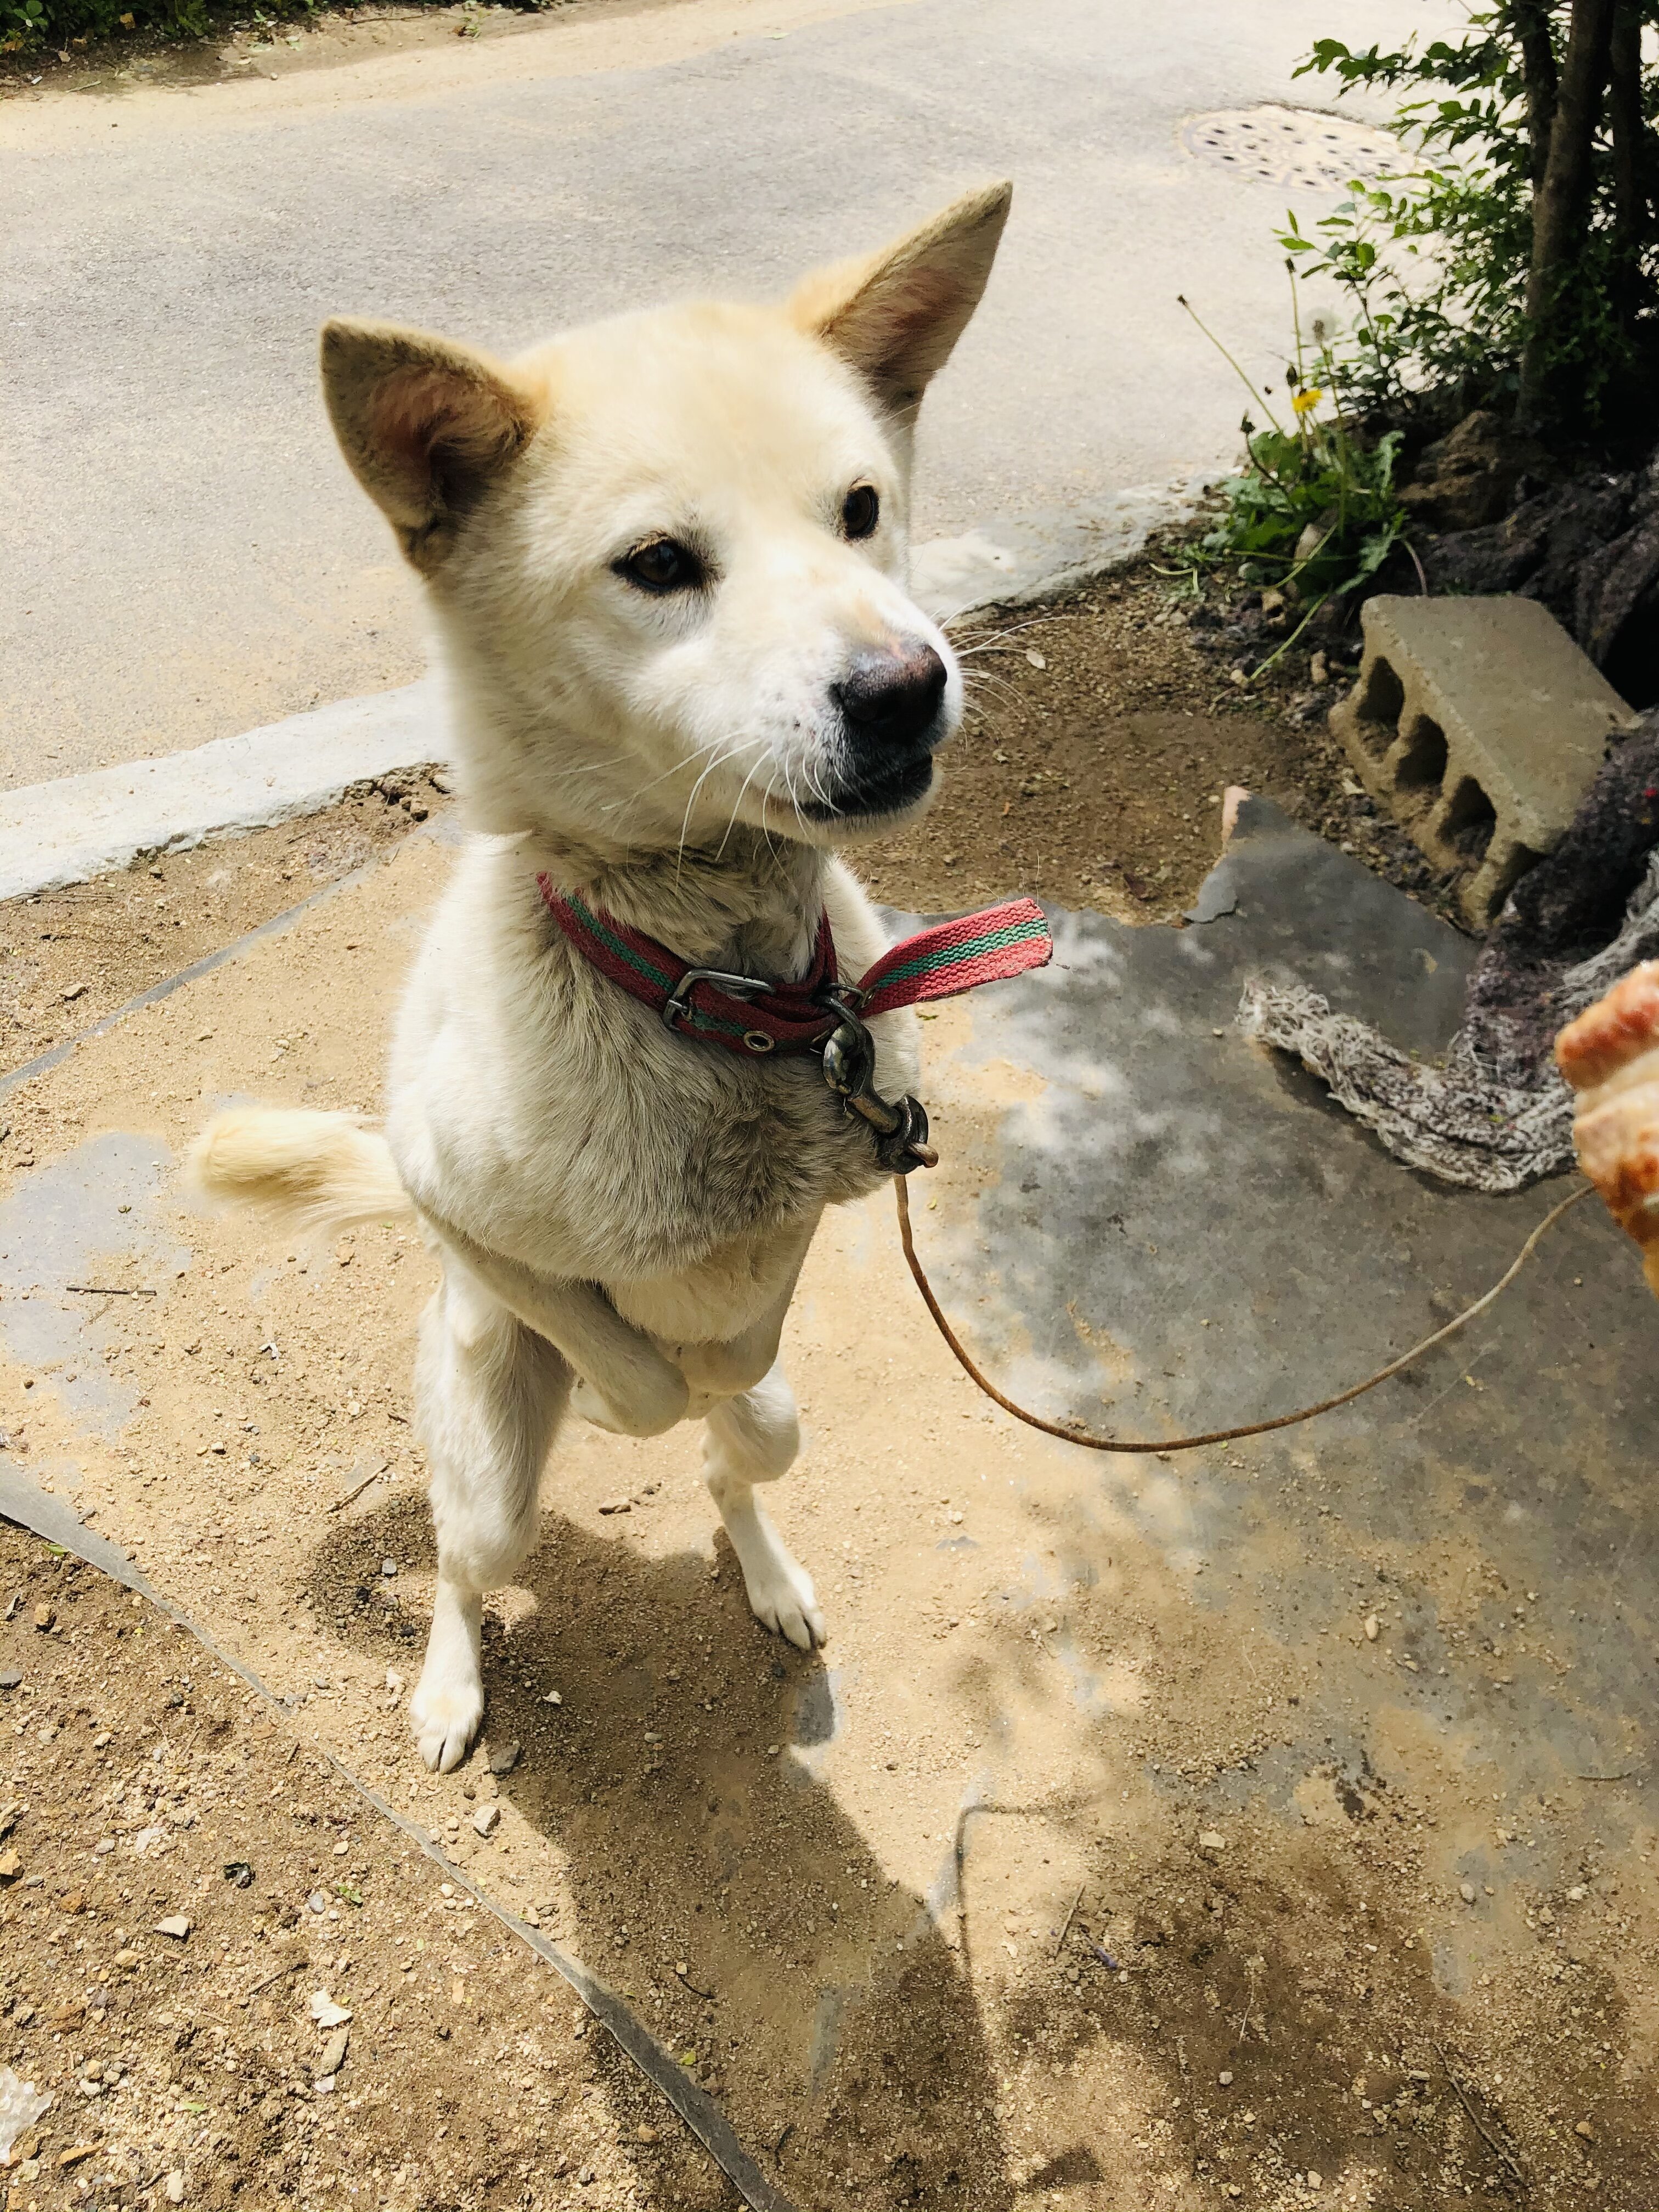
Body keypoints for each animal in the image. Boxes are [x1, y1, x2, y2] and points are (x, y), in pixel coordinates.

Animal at [188, 185, 1008, 1778]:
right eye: (659, 565)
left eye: (862, 509)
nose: (904, 687)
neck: (722, 996)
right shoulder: (457, 1204)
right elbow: (632, 1375)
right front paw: (652, 1385)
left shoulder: (818, 1215)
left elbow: (743, 1374)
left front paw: (718, 1386)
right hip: (485, 1441)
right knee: (466, 1559)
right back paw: (452, 1686)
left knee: (741, 1466)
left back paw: (764, 1567)